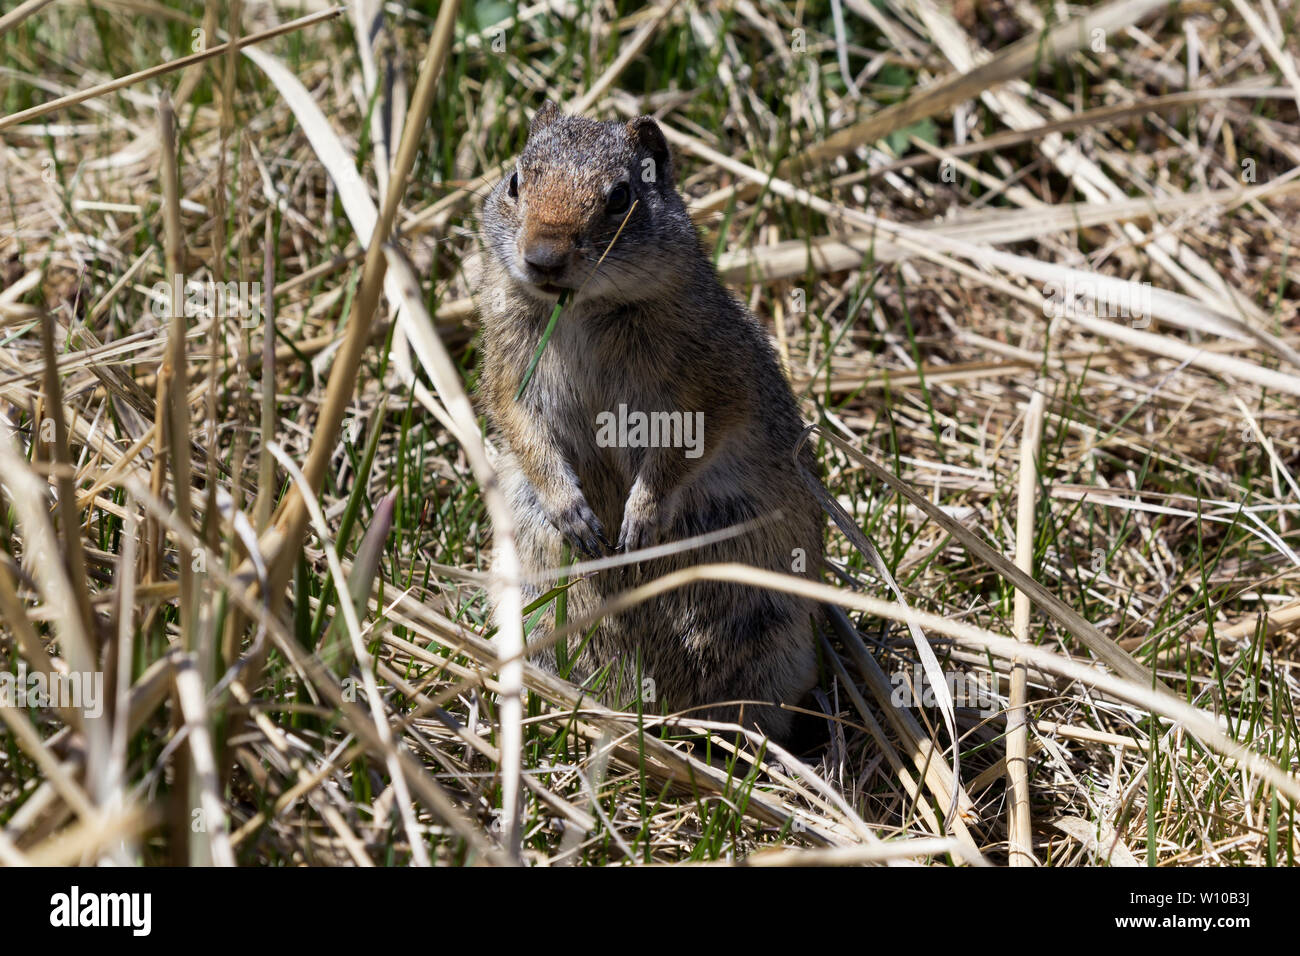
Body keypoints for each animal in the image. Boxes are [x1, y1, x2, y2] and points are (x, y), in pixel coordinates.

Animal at [478, 100, 821, 738]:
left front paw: (639, 519)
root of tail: (662, 712)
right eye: (514, 181)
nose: (543, 258)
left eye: (620, 196)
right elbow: (523, 430)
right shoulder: (509, 369)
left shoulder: (712, 381)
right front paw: (577, 515)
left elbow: (690, 444)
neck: (582, 310)